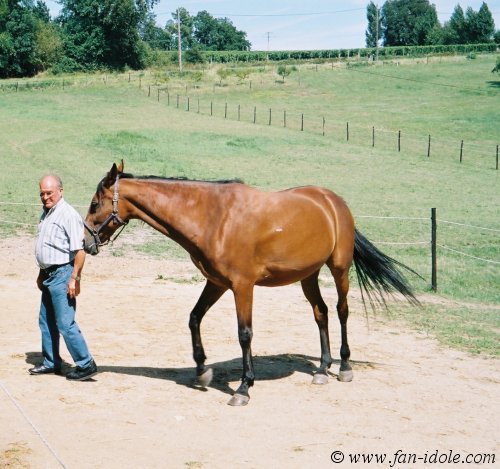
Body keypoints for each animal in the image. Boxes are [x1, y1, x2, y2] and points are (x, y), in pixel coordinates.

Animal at [83, 160, 418, 402]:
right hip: (308, 276)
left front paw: (244, 387)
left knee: (341, 311)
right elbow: (194, 318)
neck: (214, 217)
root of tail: (333, 201)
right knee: (320, 313)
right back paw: (323, 369)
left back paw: (344, 367)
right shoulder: (217, 283)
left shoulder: (242, 286)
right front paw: (202, 370)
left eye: (94, 204)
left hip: (339, 269)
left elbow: (245, 334)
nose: (87, 243)